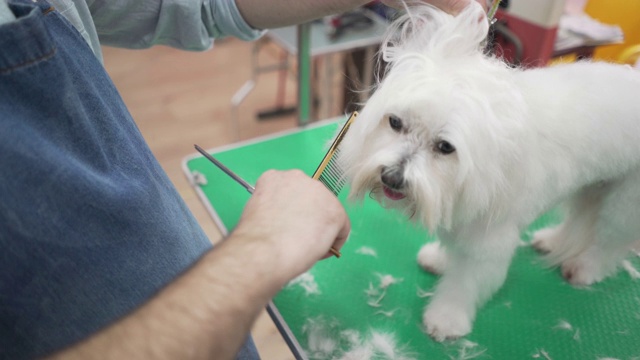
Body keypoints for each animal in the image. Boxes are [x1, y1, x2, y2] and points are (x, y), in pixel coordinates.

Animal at [338, 2, 640, 340]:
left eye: (445, 147)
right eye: (394, 122)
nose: (391, 178)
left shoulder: (488, 238)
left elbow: (466, 282)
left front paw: (446, 318)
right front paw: (440, 259)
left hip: (626, 203)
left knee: (610, 241)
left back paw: (585, 268)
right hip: (593, 185)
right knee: (580, 219)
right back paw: (551, 240)